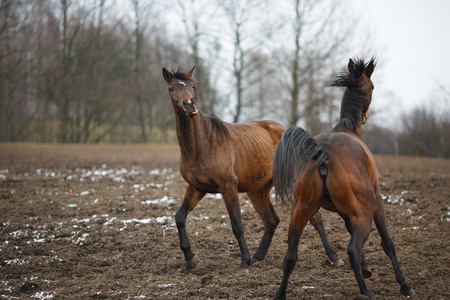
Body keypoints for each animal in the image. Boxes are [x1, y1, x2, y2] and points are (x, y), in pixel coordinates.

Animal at [163, 67, 342, 268]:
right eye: (171, 88)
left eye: (192, 86)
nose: (189, 105)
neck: (202, 144)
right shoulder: (196, 188)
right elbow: (179, 217)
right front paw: (190, 258)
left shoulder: (228, 186)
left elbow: (237, 224)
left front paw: (244, 261)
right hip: (258, 191)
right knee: (271, 220)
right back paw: (258, 256)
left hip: (293, 183)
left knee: (315, 218)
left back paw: (334, 258)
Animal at [272, 57, 414, 298]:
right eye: (372, 86)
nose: (366, 117)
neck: (348, 129)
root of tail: (324, 153)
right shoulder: (376, 203)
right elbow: (387, 242)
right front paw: (404, 284)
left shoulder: (346, 213)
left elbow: (349, 229)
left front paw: (367, 268)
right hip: (364, 214)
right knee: (352, 251)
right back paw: (366, 293)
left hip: (299, 215)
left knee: (290, 257)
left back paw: (281, 293)